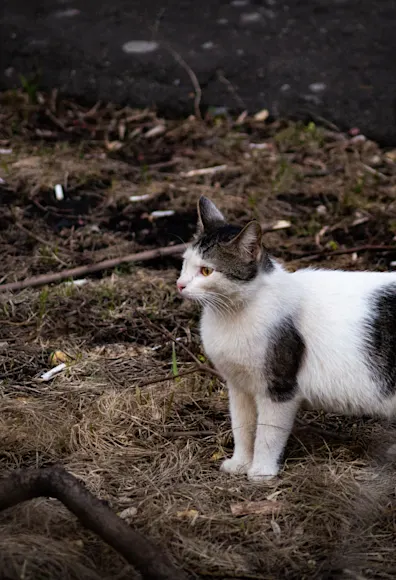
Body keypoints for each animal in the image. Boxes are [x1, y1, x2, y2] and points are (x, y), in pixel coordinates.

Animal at [178, 197, 396, 482]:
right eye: (184, 263)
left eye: (206, 271)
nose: (180, 285)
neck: (232, 314)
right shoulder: (238, 386)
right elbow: (242, 427)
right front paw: (239, 463)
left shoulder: (279, 387)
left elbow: (267, 434)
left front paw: (261, 473)